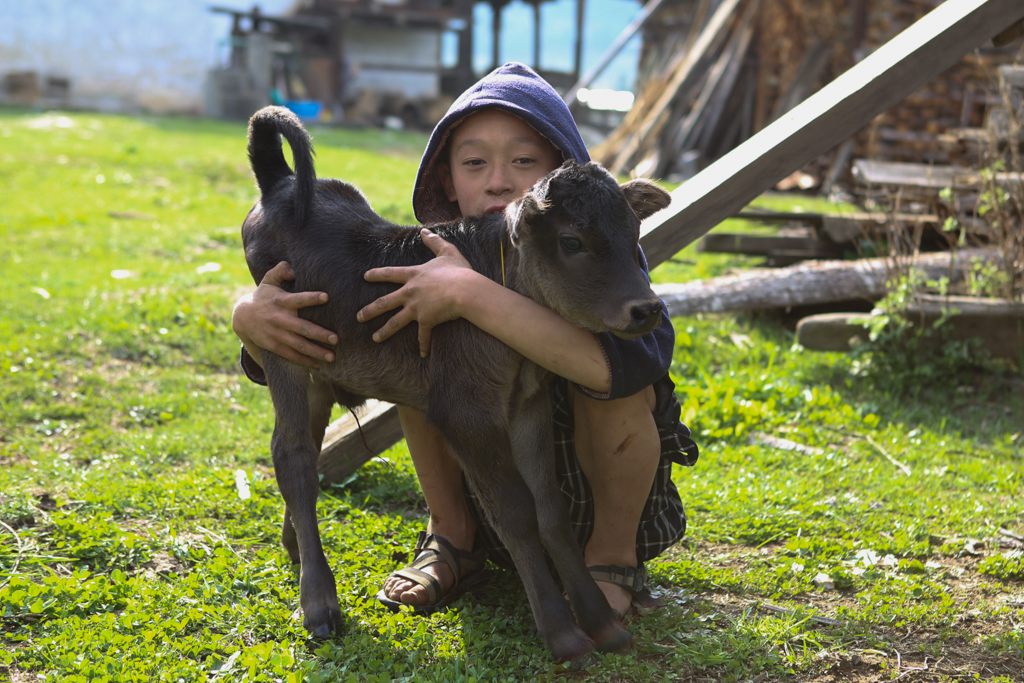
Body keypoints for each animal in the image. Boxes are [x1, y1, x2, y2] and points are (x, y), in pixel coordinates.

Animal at [239, 107, 671, 663]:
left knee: (306, 449)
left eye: (634, 231)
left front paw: (600, 621)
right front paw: (563, 633)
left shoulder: (527, 403)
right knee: (291, 455)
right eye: (572, 241)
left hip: (318, 363)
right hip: (283, 344)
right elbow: (515, 512)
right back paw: (319, 604)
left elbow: (550, 508)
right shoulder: (466, 411)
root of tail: (282, 184)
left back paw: (295, 548)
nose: (648, 309)